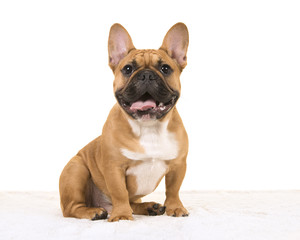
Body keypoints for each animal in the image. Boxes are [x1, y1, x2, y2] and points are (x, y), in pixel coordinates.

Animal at [59, 22, 189, 221]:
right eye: (128, 69)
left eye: (165, 69)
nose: (146, 75)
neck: (149, 128)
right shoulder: (114, 167)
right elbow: (119, 192)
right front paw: (121, 216)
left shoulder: (178, 164)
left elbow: (173, 189)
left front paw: (175, 207)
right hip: (76, 170)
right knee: (72, 208)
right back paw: (94, 211)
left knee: (132, 202)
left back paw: (149, 207)